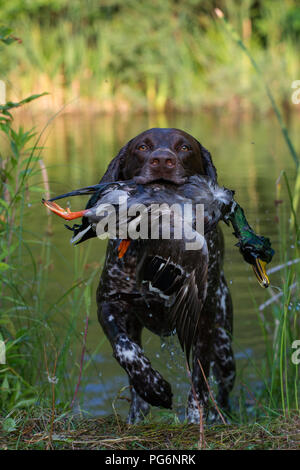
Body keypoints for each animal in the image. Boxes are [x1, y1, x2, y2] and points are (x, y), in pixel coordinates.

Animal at [95, 127, 236, 422]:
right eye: (142, 147)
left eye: (184, 148)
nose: (162, 160)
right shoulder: (109, 302)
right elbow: (125, 350)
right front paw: (154, 387)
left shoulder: (203, 318)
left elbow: (199, 378)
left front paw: (196, 418)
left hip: (224, 346)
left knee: (223, 390)